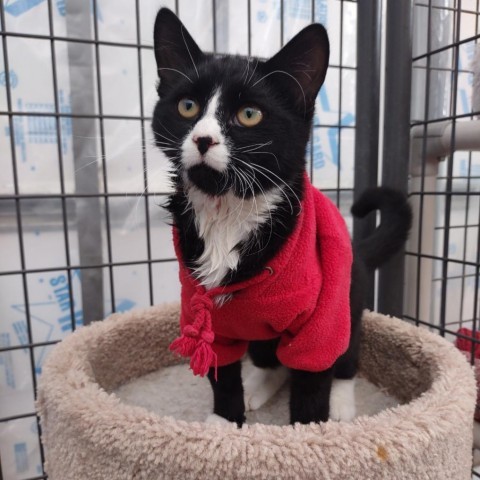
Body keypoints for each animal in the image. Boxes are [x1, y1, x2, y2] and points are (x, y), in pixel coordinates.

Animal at [152, 8, 410, 428]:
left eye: (249, 114)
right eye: (187, 106)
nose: (203, 139)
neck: (229, 214)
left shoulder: (320, 321)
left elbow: (313, 377)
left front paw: (309, 429)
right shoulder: (205, 310)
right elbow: (221, 368)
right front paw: (223, 422)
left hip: (348, 300)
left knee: (345, 357)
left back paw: (342, 404)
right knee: (268, 357)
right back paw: (260, 386)